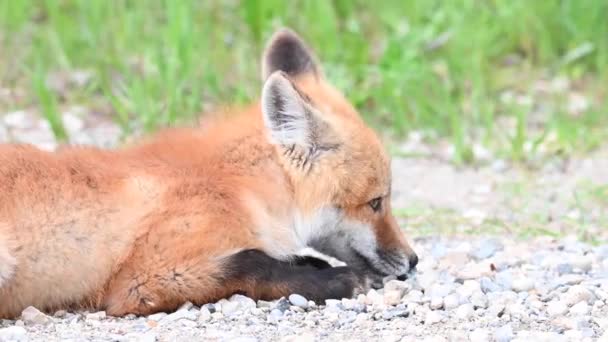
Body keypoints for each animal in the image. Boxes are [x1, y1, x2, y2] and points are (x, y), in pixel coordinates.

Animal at [0, 28, 418, 320]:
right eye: (376, 203)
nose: (414, 261)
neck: (241, 187)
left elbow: (280, 256)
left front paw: (311, 263)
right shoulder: (146, 276)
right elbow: (254, 262)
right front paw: (334, 279)